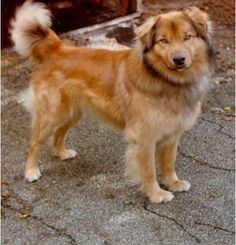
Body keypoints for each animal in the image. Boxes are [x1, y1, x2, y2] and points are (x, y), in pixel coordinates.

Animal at [10, 0, 214, 203]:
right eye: (163, 41)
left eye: (187, 37)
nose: (179, 60)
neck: (166, 80)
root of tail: (57, 48)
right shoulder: (144, 137)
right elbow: (149, 170)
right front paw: (156, 194)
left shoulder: (172, 134)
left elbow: (169, 163)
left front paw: (173, 183)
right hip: (52, 114)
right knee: (35, 143)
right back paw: (31, 170)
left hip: (71, 113)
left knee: (58, 134)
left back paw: (62, 153)